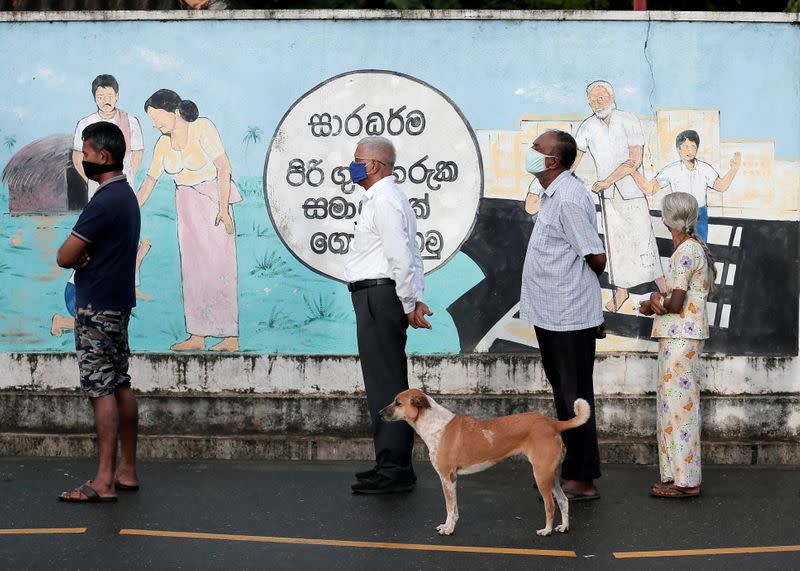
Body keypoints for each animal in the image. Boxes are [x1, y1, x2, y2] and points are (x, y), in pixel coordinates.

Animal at [378, 386, 592, 540]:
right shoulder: (452, 480)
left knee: (550, 504)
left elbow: (449, 508)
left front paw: (448, 529)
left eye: (397, 402)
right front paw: (448, 526)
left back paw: (546, 530)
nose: (379, 414)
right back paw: (563, 527)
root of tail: (552, 423)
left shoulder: (446, 478)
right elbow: (454, 509)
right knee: (563, 501)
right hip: (552, 475)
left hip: (541, 475)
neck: (434, 424)